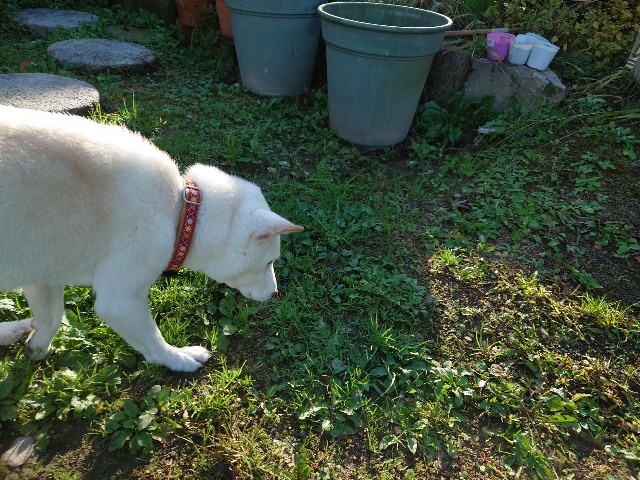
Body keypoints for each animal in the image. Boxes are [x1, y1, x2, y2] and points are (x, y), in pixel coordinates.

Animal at [0, 106, 303, 371]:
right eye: (269, 262)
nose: (275, 294)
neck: (179, 208)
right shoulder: (121, 300)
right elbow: (153, 341)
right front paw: (178, 359)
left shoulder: (42, 273)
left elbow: (50, 319)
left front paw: (37, 348)